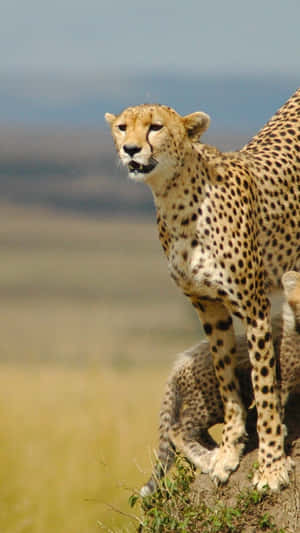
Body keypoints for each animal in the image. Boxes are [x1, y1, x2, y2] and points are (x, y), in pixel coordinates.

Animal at [141, 272, 300, 496]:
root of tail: (179, 362)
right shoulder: (281, 379)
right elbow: (274, 406)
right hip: (210, 401)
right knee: (179, 429)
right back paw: (209, 459)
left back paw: (219, 451)